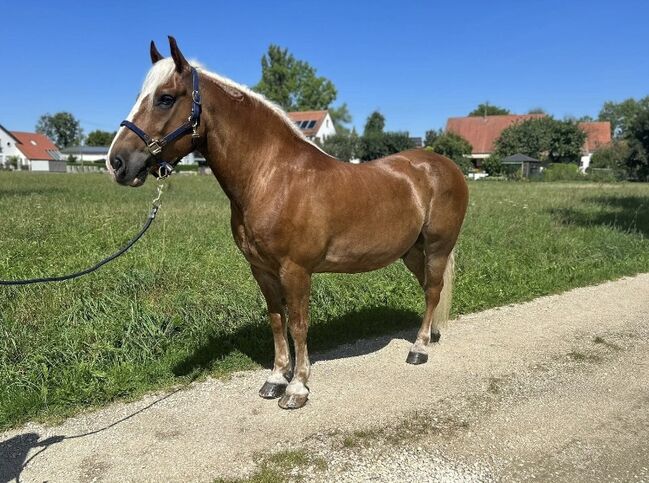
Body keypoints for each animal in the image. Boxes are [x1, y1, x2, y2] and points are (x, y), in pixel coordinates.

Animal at [109, 36, 468, 412]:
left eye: (165, 98)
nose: (117, 162)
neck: (273, 176)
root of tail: (445, 166)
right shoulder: (262, 270)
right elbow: (277, 321)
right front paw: (276, 379)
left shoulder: (295, 270)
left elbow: (298, 324)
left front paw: (297, 388)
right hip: (411, 251)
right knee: (430, 288)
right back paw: (432, 334)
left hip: (438, 246)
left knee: (433, 289)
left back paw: (419, 348)